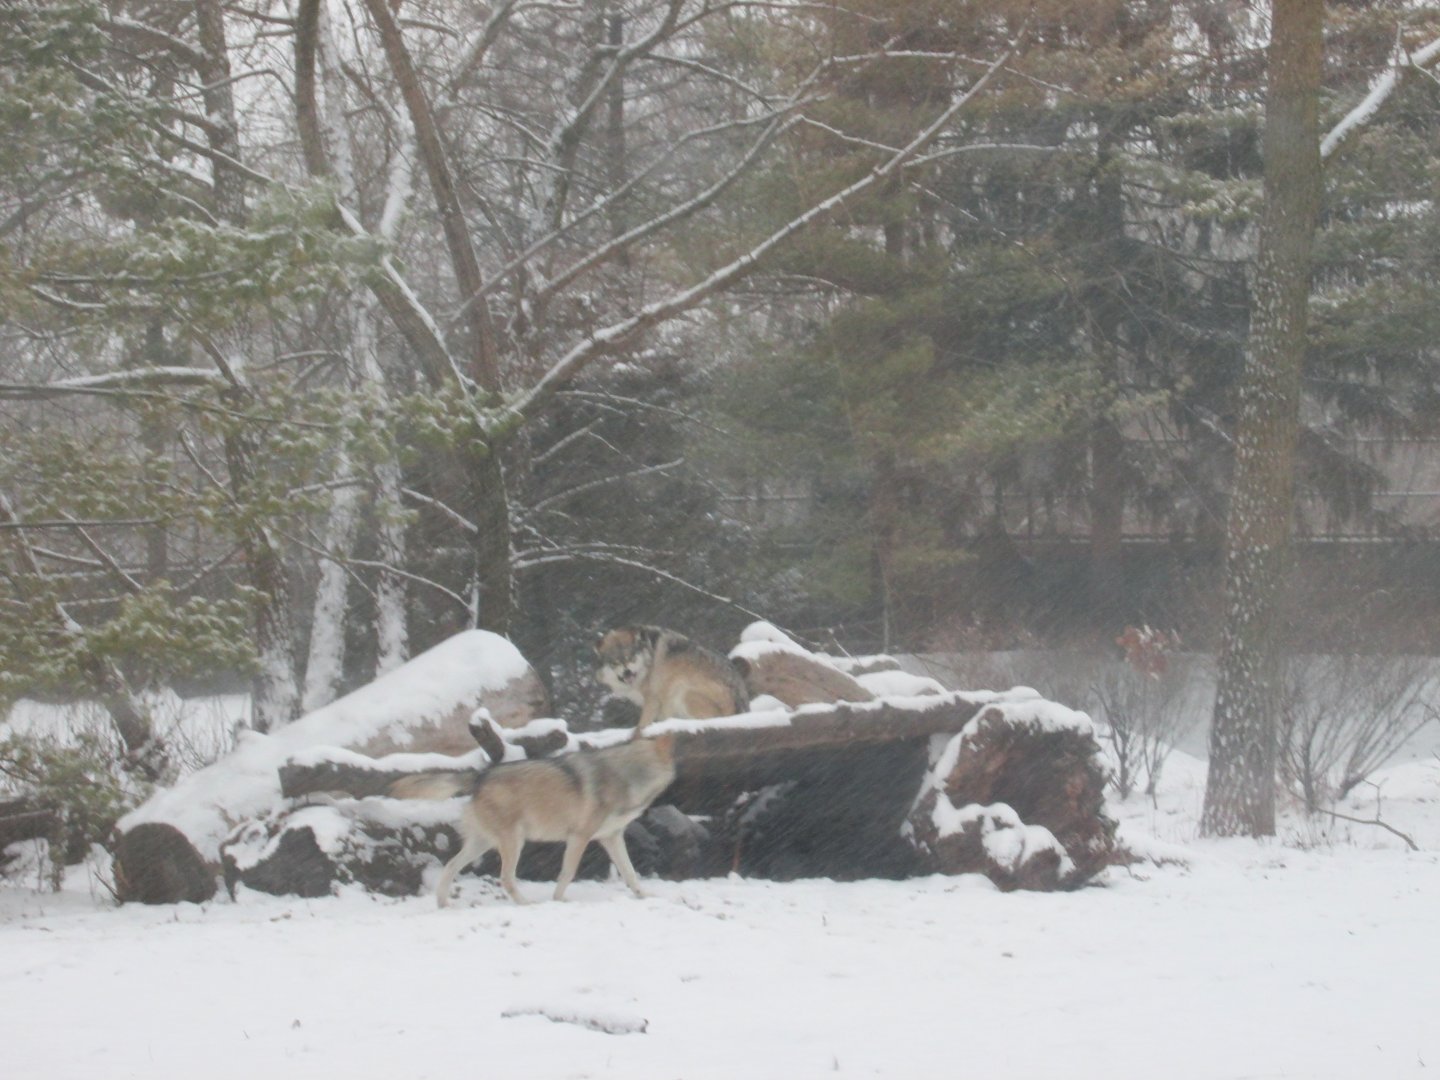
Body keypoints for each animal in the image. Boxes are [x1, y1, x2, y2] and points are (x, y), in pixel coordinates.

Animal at [421, 732, 678, 906]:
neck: (628, 776)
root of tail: (480, 775)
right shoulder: (579, 837)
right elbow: (568, 873)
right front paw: (558, 900)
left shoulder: (611, 838)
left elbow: (630, 873)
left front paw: (644, 896)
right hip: (514, 842)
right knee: (506, 878)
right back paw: (525, 904)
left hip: (481, 844)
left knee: (450, 866)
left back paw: (443, 903)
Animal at [594, 625, 749, 730]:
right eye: (614, 663)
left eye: (631, 658)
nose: (627, 672)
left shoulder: (653, 698)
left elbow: (641, 725)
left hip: (683, 690)